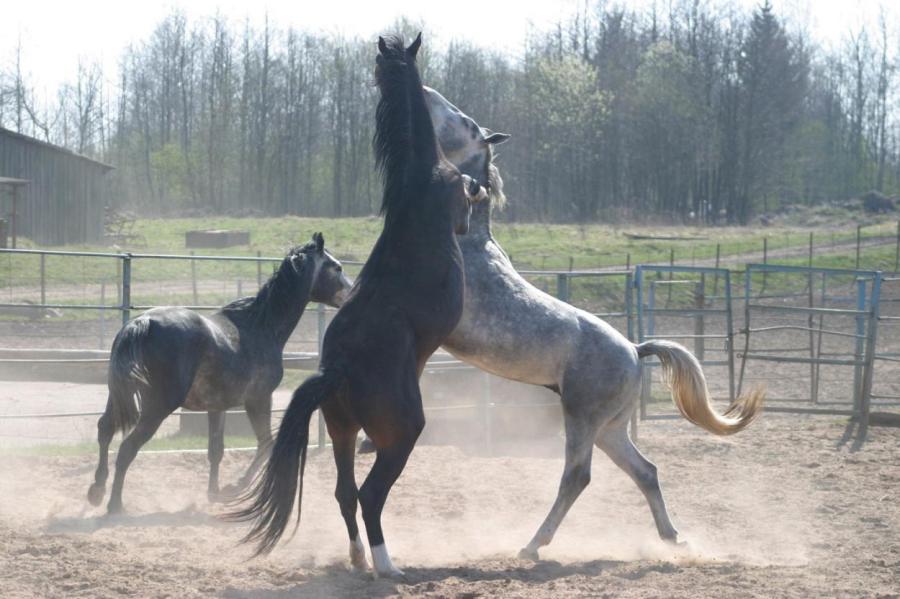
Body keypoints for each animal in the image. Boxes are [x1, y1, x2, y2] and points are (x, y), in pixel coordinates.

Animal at [86, 234, 350, 516]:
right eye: (337, 267)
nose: (351, 293)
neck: (261, 327)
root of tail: (141, 323)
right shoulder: (258, 399)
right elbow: (266, 444)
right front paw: (234, 488)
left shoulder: (217, 407)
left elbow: (216, 449)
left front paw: (214, 493)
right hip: (157, 407)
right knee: (127, 448)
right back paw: (115, 505)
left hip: (118, 395)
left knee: (105, 430)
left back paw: (96, 491)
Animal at [229, 35, 488, 580]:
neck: (420, 177)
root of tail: (339, 368)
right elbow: (470, 201)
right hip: (401, 433)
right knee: (369, 496)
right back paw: (388, 565)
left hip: (342, 429)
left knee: (345, 493)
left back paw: (357, 558)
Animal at [424, 89, 768, 564]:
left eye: (465, 122)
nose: (426, 93)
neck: (467, 237)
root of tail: (635, 350)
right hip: (610, 428)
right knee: (646, 471)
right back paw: (672, 538)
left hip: (583, 419)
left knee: (577, 476)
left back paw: (533, 545)